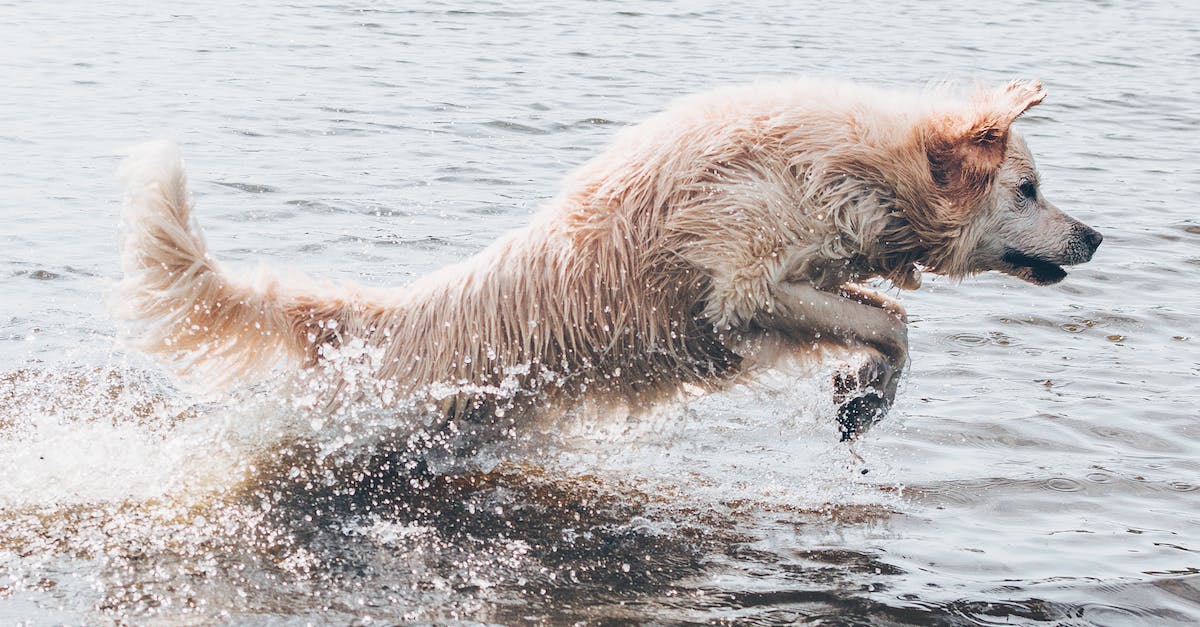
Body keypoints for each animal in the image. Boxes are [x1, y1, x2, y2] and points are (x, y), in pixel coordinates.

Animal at [117, 78, 1099, 439]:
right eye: (1029, 189)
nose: (1095, 236)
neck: (855, 168)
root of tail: (380, 318)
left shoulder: (798, 280)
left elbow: (887, 318)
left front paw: (864, 395)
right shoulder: (743, 286)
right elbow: (890, 323)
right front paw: (868, 388)